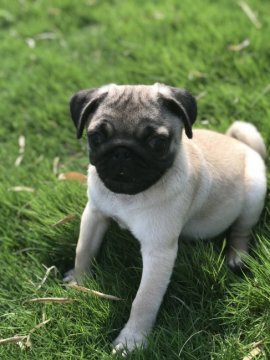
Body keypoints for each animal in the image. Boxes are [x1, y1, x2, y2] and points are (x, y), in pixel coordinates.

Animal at [63, 83, 268, 352]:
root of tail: (244, 146)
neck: (127, 196)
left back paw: (237, 256)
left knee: (241, 230)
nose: (122, 152)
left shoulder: (158, 251)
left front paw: (132, 340)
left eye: (157, 142)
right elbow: (83, 250)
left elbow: (144, 299)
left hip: (254, 193)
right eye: (96, 138)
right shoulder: (94, 214)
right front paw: (79, 280)